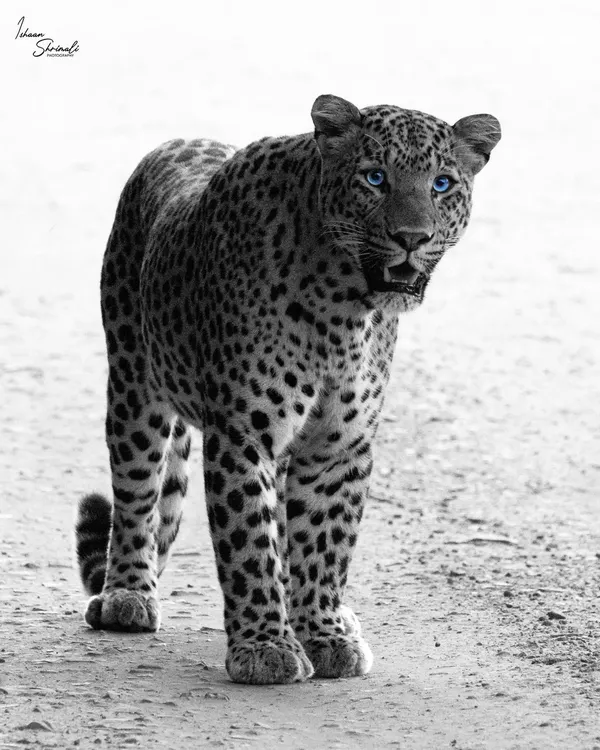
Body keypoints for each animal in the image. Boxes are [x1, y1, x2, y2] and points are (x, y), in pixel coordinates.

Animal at [75, 94, 500, 685]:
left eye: (441, 184)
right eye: (374, 178)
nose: (412, 238)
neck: (343, 307)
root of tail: (177, 141)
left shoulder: (338, 445)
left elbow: (323, 543)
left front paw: (322, 633)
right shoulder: (243, 435)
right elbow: (249, 544)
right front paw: (266, 647)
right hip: (134, 381)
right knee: (137, 490)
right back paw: (127, 594)